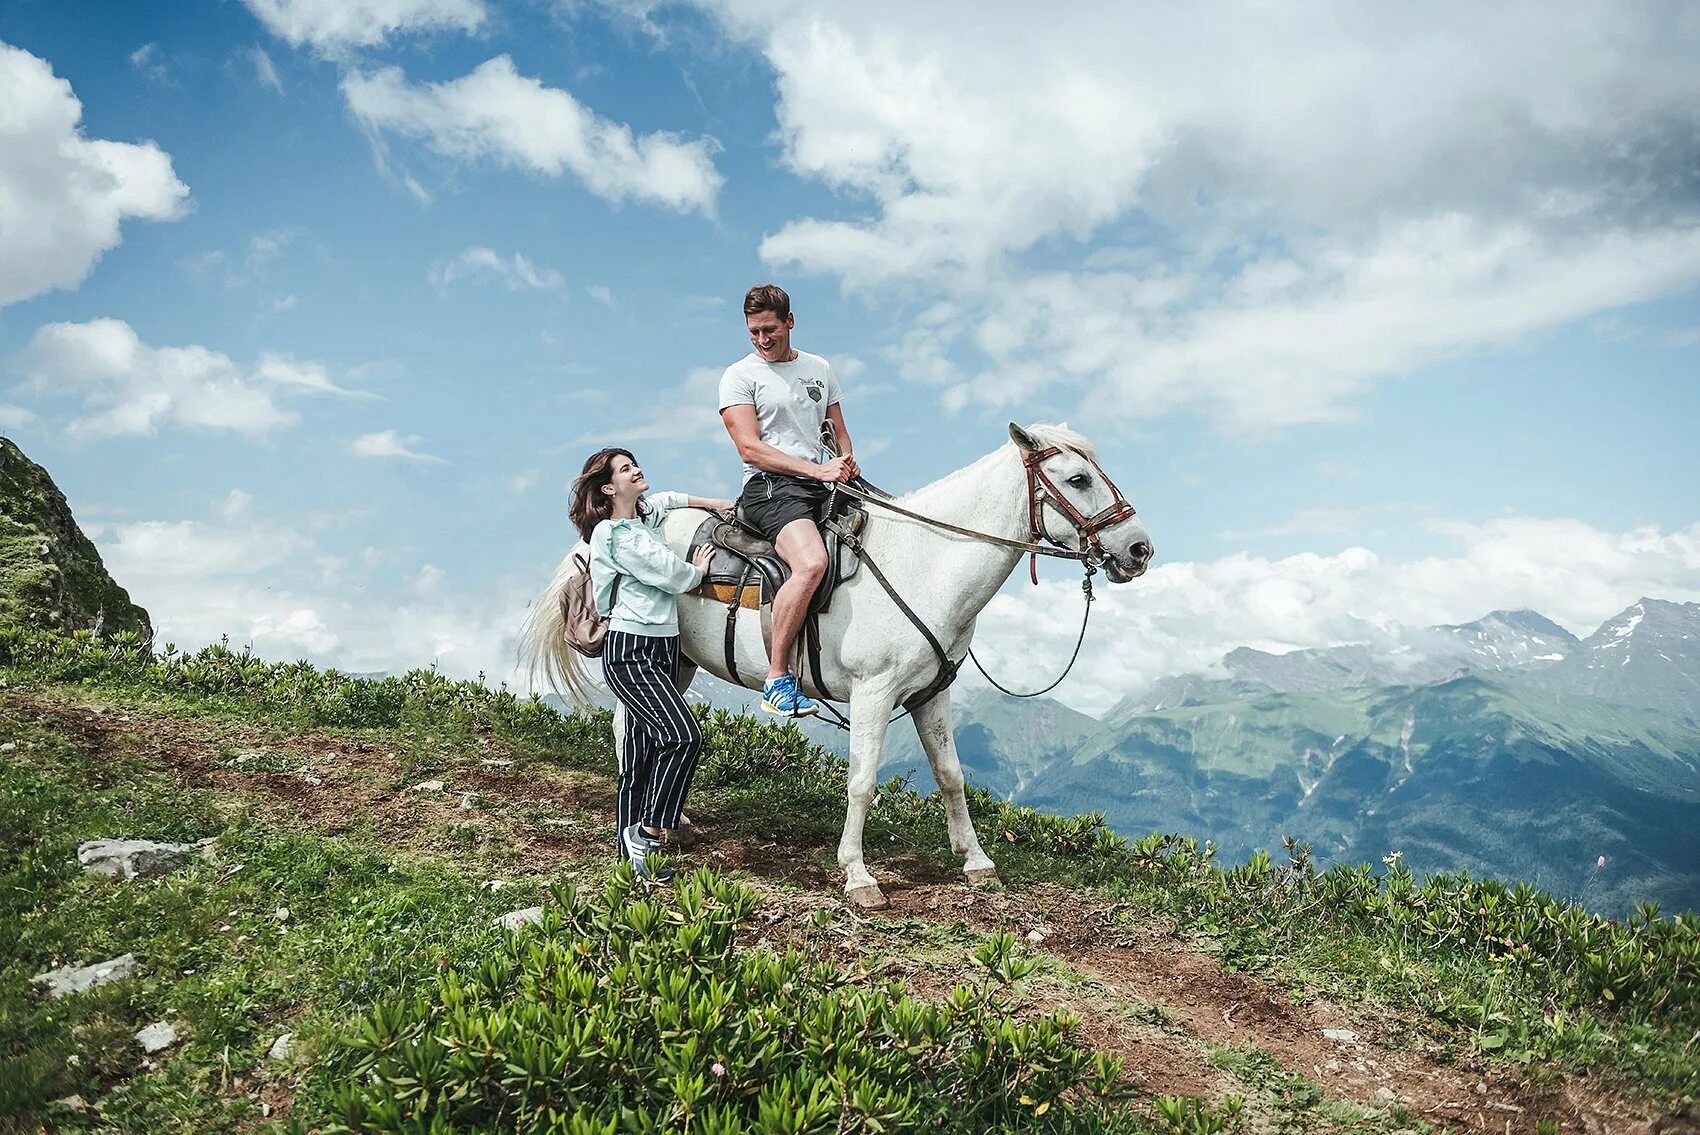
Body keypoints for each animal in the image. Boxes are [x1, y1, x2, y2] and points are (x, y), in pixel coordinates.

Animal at [520, 421, 1156, 910]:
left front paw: (975, 860)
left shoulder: (932, 695)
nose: (1139, 550)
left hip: (677, 662)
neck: (926, 564)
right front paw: (858, 874)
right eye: (1077, 479)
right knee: (630, 730)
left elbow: (951, 775)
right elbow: (862, 782)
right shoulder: (874, 695)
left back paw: (668, 825)